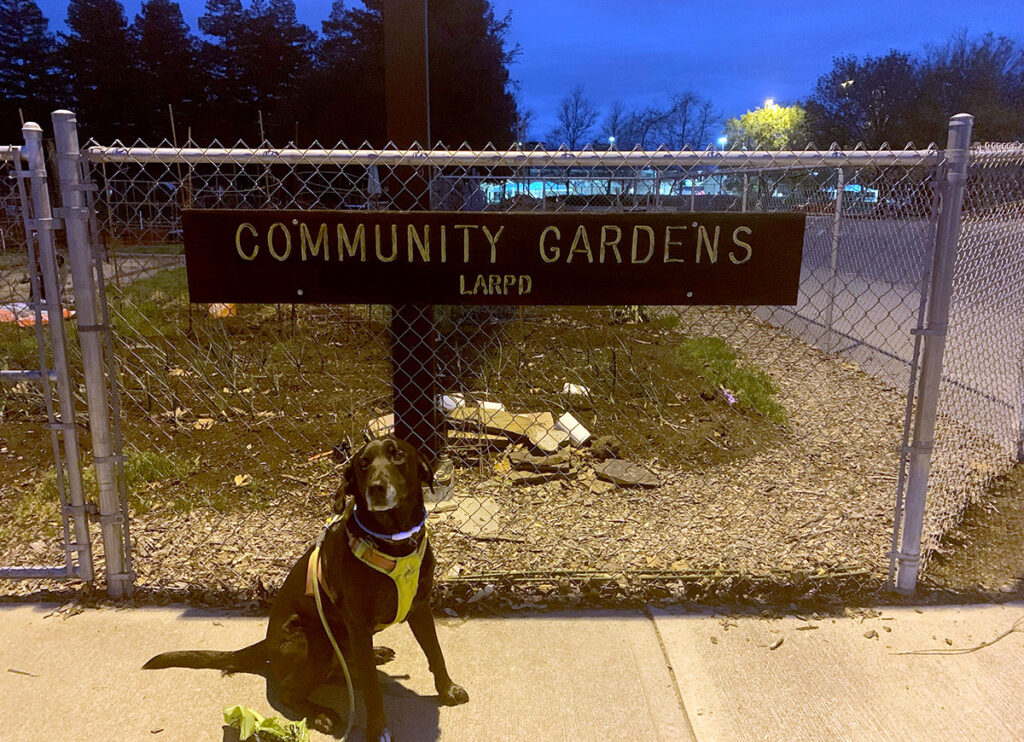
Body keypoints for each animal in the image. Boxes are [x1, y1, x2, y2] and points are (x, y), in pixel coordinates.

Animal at [143, 438, 468, 736]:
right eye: (363, 463)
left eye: (398, 455)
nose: (376, 487)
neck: (393, 541)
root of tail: (267, 643)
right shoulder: (359, 623)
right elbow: (373, 690)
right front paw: (377, 730)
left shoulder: (420, 607)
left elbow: (435, 653)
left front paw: (447, 690)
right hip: (316, 642)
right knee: (292, 691)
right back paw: (321, 713)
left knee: (346, 666)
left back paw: (372, 656)